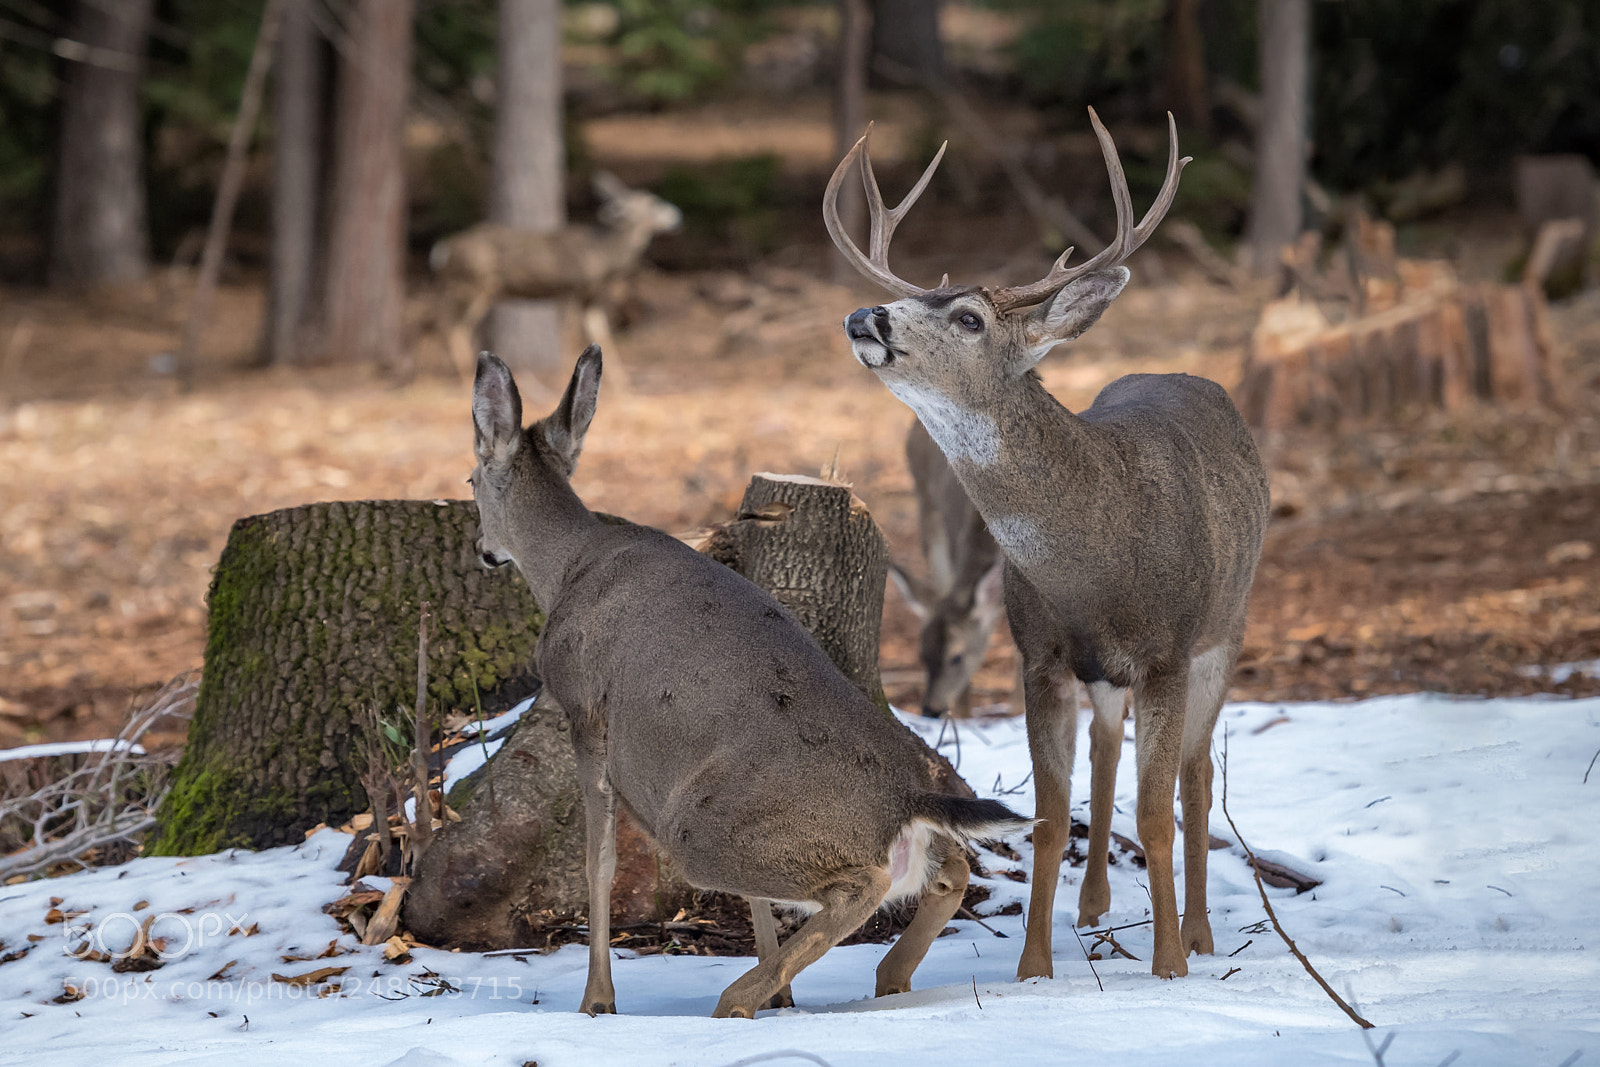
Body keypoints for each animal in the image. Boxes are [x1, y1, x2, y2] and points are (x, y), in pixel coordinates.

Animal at [431, 172, 681, 379]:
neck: (602, 254)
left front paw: (624, 389)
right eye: (653, 203)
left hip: (471, 288)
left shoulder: (590, 298)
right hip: (471, 285)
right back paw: (464, 378)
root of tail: (442, 249)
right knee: (451, 326)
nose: (677, 216)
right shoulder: (570, 289)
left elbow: (603, 337)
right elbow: (569, 337)